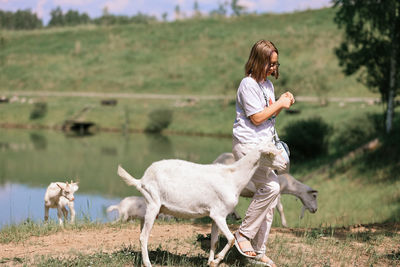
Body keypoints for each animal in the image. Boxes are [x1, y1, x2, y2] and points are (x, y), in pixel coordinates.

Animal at [116, 141, 288, 266]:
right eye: (271, 154)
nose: (285, 165)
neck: (232, 178)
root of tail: (141, 180)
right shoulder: (219, 215)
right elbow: (231, 239)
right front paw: (217, 260)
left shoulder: (214, 215)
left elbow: (214, 241)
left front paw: (210, 262)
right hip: (153, 203)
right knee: (143, 236)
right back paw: (148, 264)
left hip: (150, 207)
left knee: (141, 233)